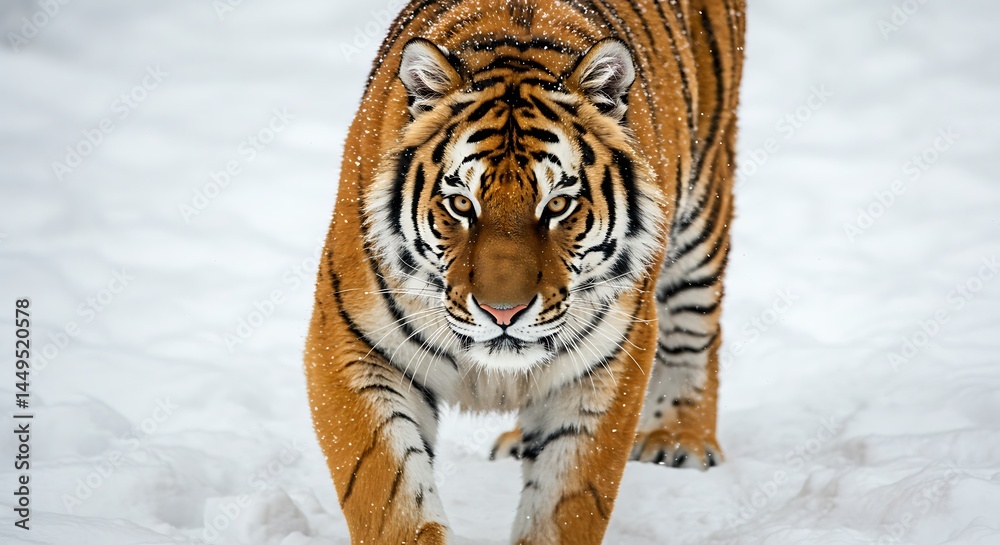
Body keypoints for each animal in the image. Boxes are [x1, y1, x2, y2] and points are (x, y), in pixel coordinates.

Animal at [304, 0, 744, 543]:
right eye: (460, 205)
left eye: (557, 205)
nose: (503, 313)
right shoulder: (351, 346)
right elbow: (389, 495)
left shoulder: (605, 368)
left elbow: (567, 503)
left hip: (706, 197)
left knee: (697, 329)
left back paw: (680, 440)